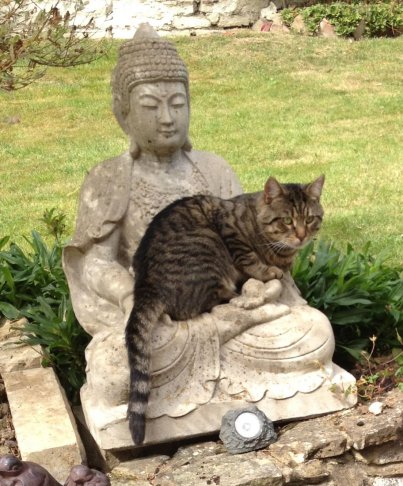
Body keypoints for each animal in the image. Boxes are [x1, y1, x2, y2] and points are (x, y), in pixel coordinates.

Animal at [125, 175, 326, 444]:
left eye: (310, 219)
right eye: (286, 221)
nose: (302, 236)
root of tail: (145, 285)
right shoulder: (230, 230)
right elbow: (250, 259)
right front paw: (268, 272)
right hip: (208, 242)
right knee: (214, 304)